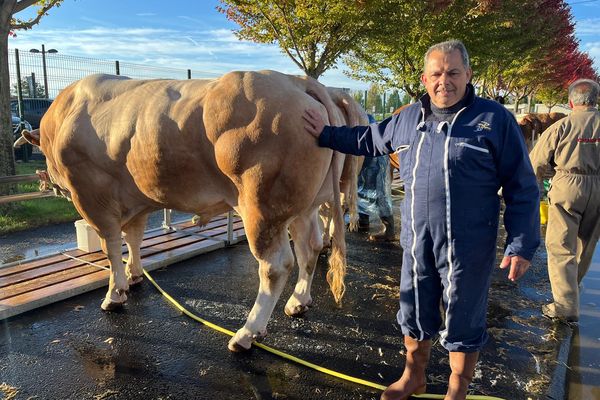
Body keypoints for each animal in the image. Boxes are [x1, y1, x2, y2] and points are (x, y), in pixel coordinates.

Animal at [21, 70, 368, 352]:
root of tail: (298, 81)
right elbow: (133, 238)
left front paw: (114, 294)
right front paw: (135, 275)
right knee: (310, 248)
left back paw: (247, 333)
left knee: (276, 265)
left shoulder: (92, 197)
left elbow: (111, 247)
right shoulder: (137, 198)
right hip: (304, 206)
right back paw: (298, 302)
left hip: (263, 208)